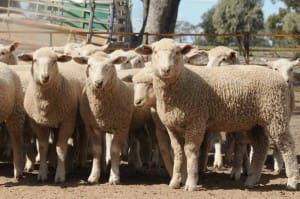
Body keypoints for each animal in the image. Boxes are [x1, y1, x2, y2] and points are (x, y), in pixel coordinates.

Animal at [17, 47, 82, 182]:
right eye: (34, 60)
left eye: (55, 61)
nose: (45, 77)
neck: (45, 101)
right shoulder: (38, 123)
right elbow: (43, 147)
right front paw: (42, 173)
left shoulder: (67, 122)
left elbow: (61, 148)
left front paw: (60, 175)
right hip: (54, 120)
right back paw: (54, 163)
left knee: (77, 141)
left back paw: (72, 165)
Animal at [135, 38, 298, 191]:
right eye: (155, 52)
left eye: (177, 52)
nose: (165, 70)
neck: (183, 81)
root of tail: (279, 78)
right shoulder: (172, 126)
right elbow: (178, 152)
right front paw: (175, 181)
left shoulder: (196, 121)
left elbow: (191, 151)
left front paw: (191, 183)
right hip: (256, 122)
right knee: (261, 146)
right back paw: (251, 180)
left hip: (275, 115)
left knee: (287, 145)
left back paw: (291, 181)